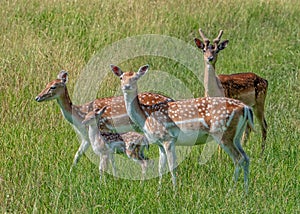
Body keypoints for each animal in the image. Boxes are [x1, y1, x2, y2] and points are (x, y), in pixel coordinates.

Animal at [35, 71, 175, 171]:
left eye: (53, 87)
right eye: (46, 84)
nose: (37, 97)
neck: (80, 115)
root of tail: (170, 99)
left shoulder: (102, 130)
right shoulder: (86, 138)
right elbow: (77, 155)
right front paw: (70, 173)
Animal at [110, 64, 253, 193]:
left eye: (135, 78)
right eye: (121, 77)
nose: (126, 86)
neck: (145, 116)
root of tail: (245, 108)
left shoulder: (168, 139)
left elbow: (172, 166)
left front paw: (175, 192)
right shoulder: (160, 143)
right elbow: (160, 167)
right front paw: (158, 192)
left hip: (222, 133)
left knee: (238, 159)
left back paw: (230, 191)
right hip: (236, 135)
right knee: (246, 157)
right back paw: (245, 192)